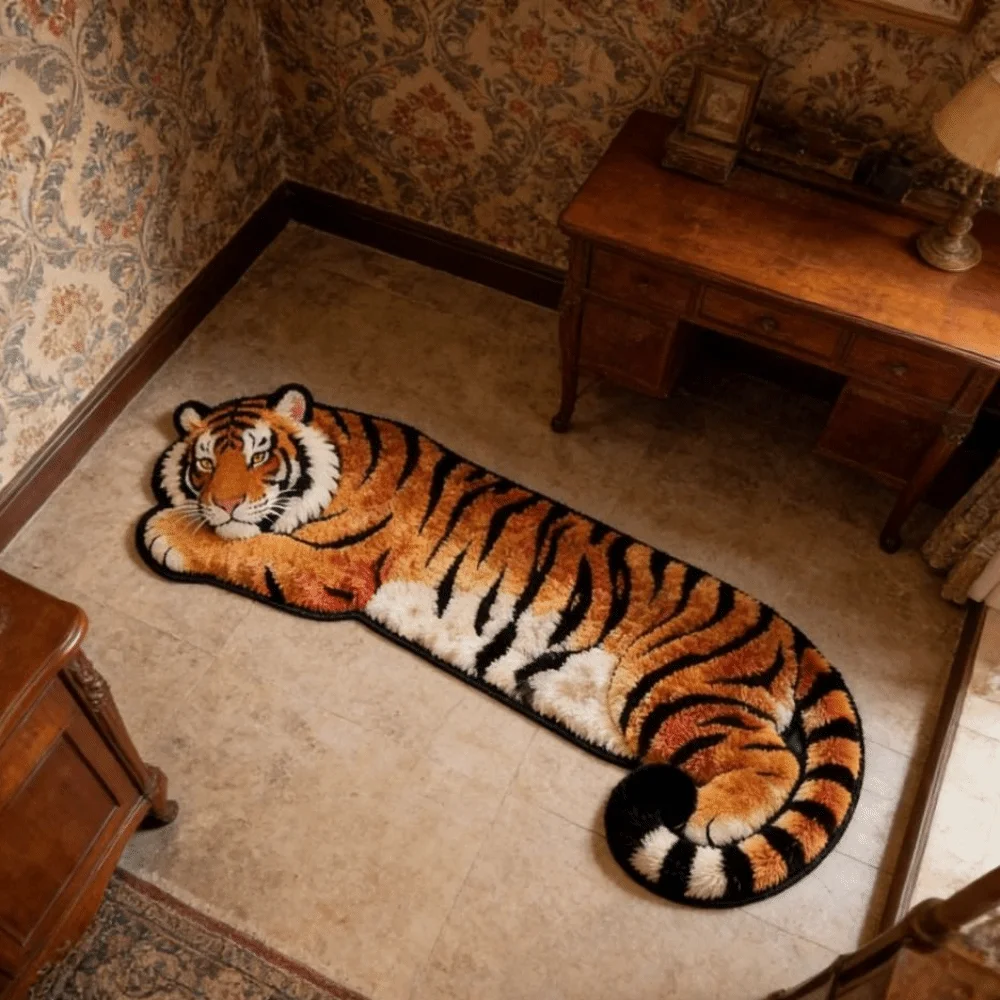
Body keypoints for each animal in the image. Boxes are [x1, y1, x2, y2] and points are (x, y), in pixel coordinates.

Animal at [138, 383, 863, 907]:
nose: (226, 503)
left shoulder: (334, 566)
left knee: (773, 759)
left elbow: (248, 548)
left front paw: (166, 530)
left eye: (261, 456)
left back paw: (709, 814)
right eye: (206, 462)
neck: (335, 456)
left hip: (674, 686)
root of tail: (794, 637)